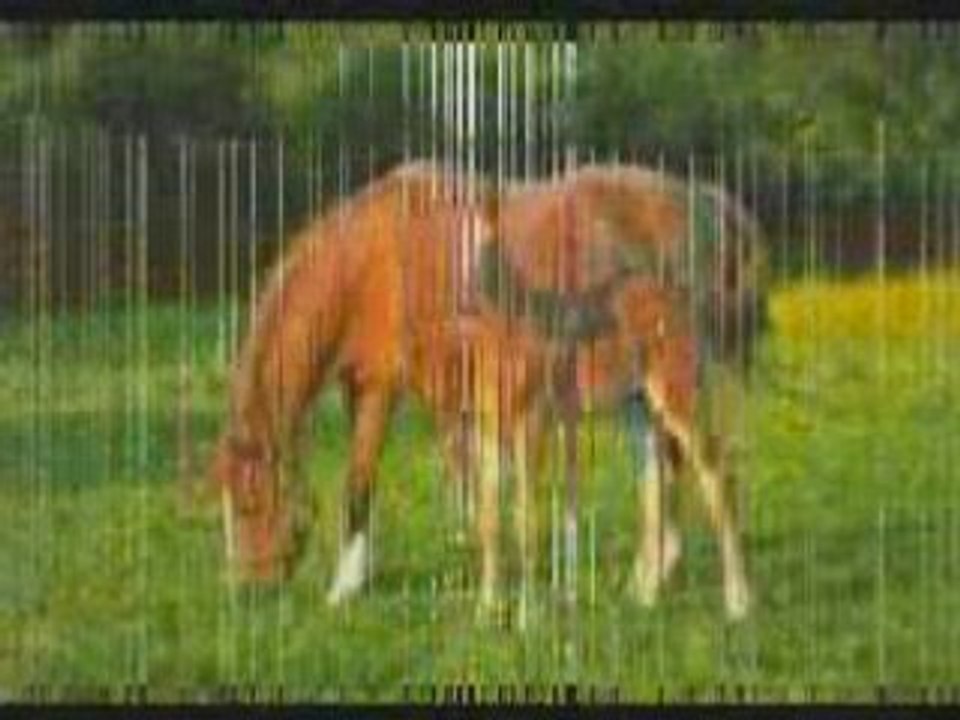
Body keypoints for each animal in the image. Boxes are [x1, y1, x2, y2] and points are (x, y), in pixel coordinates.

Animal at [207, 159, 767, 621]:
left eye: (251, 504)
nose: (249, 589)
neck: (373, 260)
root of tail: (708, 202)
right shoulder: (396, 388)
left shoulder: (383, 388)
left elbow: (362, 482)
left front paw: (344, 587)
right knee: (662, 465)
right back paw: (649, 580)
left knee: (686, 462)